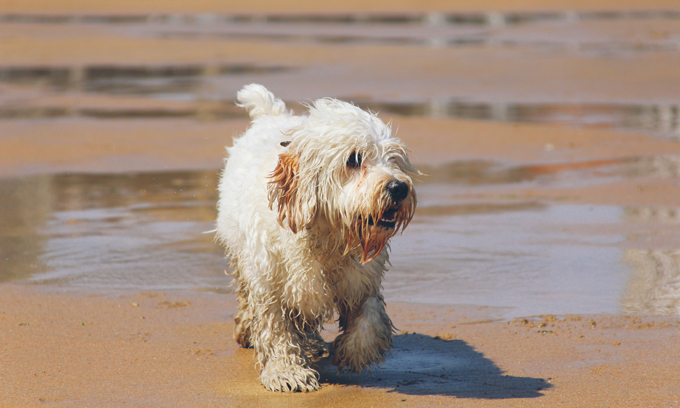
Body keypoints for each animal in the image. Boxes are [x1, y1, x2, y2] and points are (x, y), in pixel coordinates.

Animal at [218, 83, 418, 392]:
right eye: (354, 159)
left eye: (393, 158)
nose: (399, 188)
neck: (327, 239)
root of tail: (270, 116)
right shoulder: (269, 285)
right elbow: (276, 331)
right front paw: (286, 372)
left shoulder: (362, 280)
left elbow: (370, 315)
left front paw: (355, 352)